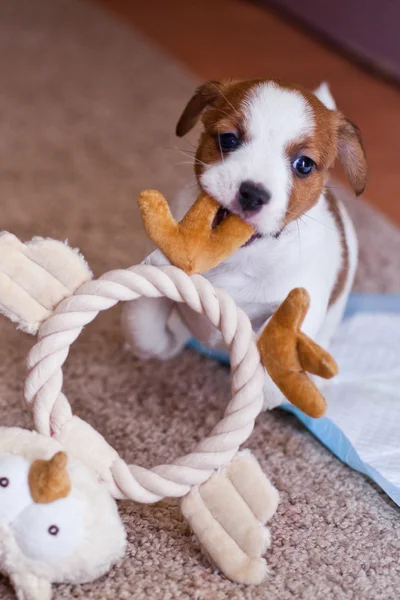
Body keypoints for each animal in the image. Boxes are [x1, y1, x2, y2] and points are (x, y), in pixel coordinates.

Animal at [122, 79, 368, 408]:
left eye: (303, 165)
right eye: (228, 139)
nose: (252, 193)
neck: (237, 257)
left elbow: (270, 382)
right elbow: (144, 329)